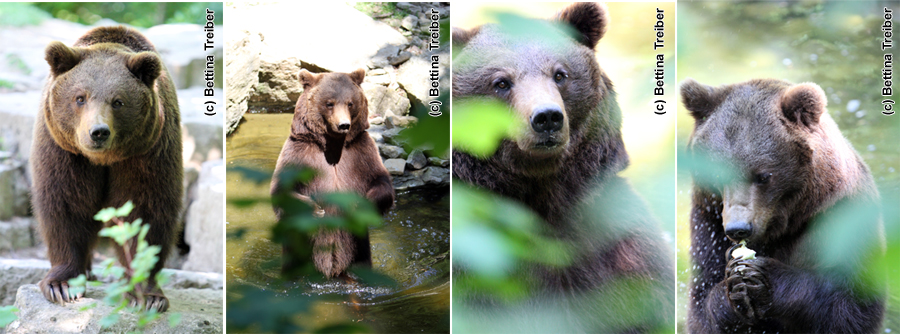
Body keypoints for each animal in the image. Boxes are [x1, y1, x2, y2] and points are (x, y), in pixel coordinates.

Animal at [31, 26, 183, 314]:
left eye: (118, 102)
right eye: (80, 97)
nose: (98, 132)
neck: (103, 160)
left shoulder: (147, 154)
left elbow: (143, 213)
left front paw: (148, 295)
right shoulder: (66, 152)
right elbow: (66, 205)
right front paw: (62, 286)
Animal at [268, 66, 392, 278]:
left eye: (350, 103)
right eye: (329, 103)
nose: (344, 125)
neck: (333, 146)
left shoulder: (361, 152)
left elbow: (381, 181)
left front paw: (359, 205)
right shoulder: (300, 153)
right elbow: (282, 191)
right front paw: (316, 209)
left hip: (358, 251)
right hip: (298, 255)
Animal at [684, 77, 884, 332]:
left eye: (763, 175)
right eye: (717, 174)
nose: (738, 228)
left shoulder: (842, 217)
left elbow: (850, 307)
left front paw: (762, 278)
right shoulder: (708, 225)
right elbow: (702, 305)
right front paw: (734, 288)